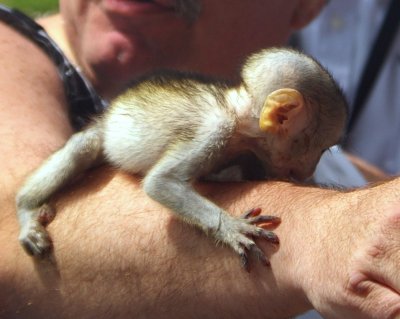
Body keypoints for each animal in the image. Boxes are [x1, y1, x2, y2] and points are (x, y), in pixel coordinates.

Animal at [15, 47, 346, 268]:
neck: (239, 115)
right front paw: (230, 227)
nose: (310, 168)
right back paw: (27, 210)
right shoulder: (214, 129)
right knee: (81, 149)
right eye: (321, 149)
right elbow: (162, 182)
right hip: (101, 135)